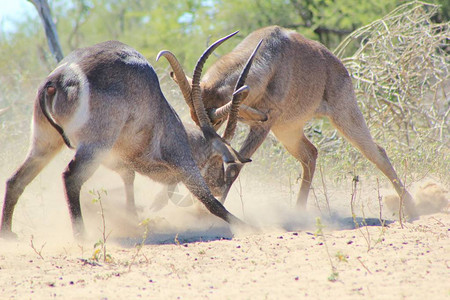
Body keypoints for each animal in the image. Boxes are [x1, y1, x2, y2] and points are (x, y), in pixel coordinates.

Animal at [0, 32, 260, 238]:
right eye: (217, 159)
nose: (220, 184)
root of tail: (57, 79)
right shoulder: (185, 166)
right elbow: (212, 204)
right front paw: (250, 226)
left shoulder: (120, 161)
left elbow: (129, 185)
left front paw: (135, 216)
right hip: (95, 146)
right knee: (70, 178)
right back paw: (81, 235)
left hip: (44, 144)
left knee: (15, 180)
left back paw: (8, 234)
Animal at [161, 25, 418, 218]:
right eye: (193, 117)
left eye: (212, 120)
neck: (269, 57)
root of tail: (337, 64)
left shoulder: (262, 126)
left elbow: (234, 166)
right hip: (287, 131)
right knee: (310, 154)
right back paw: (299, 211)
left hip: (344, 116)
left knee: (377, 153)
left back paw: (411, 207)